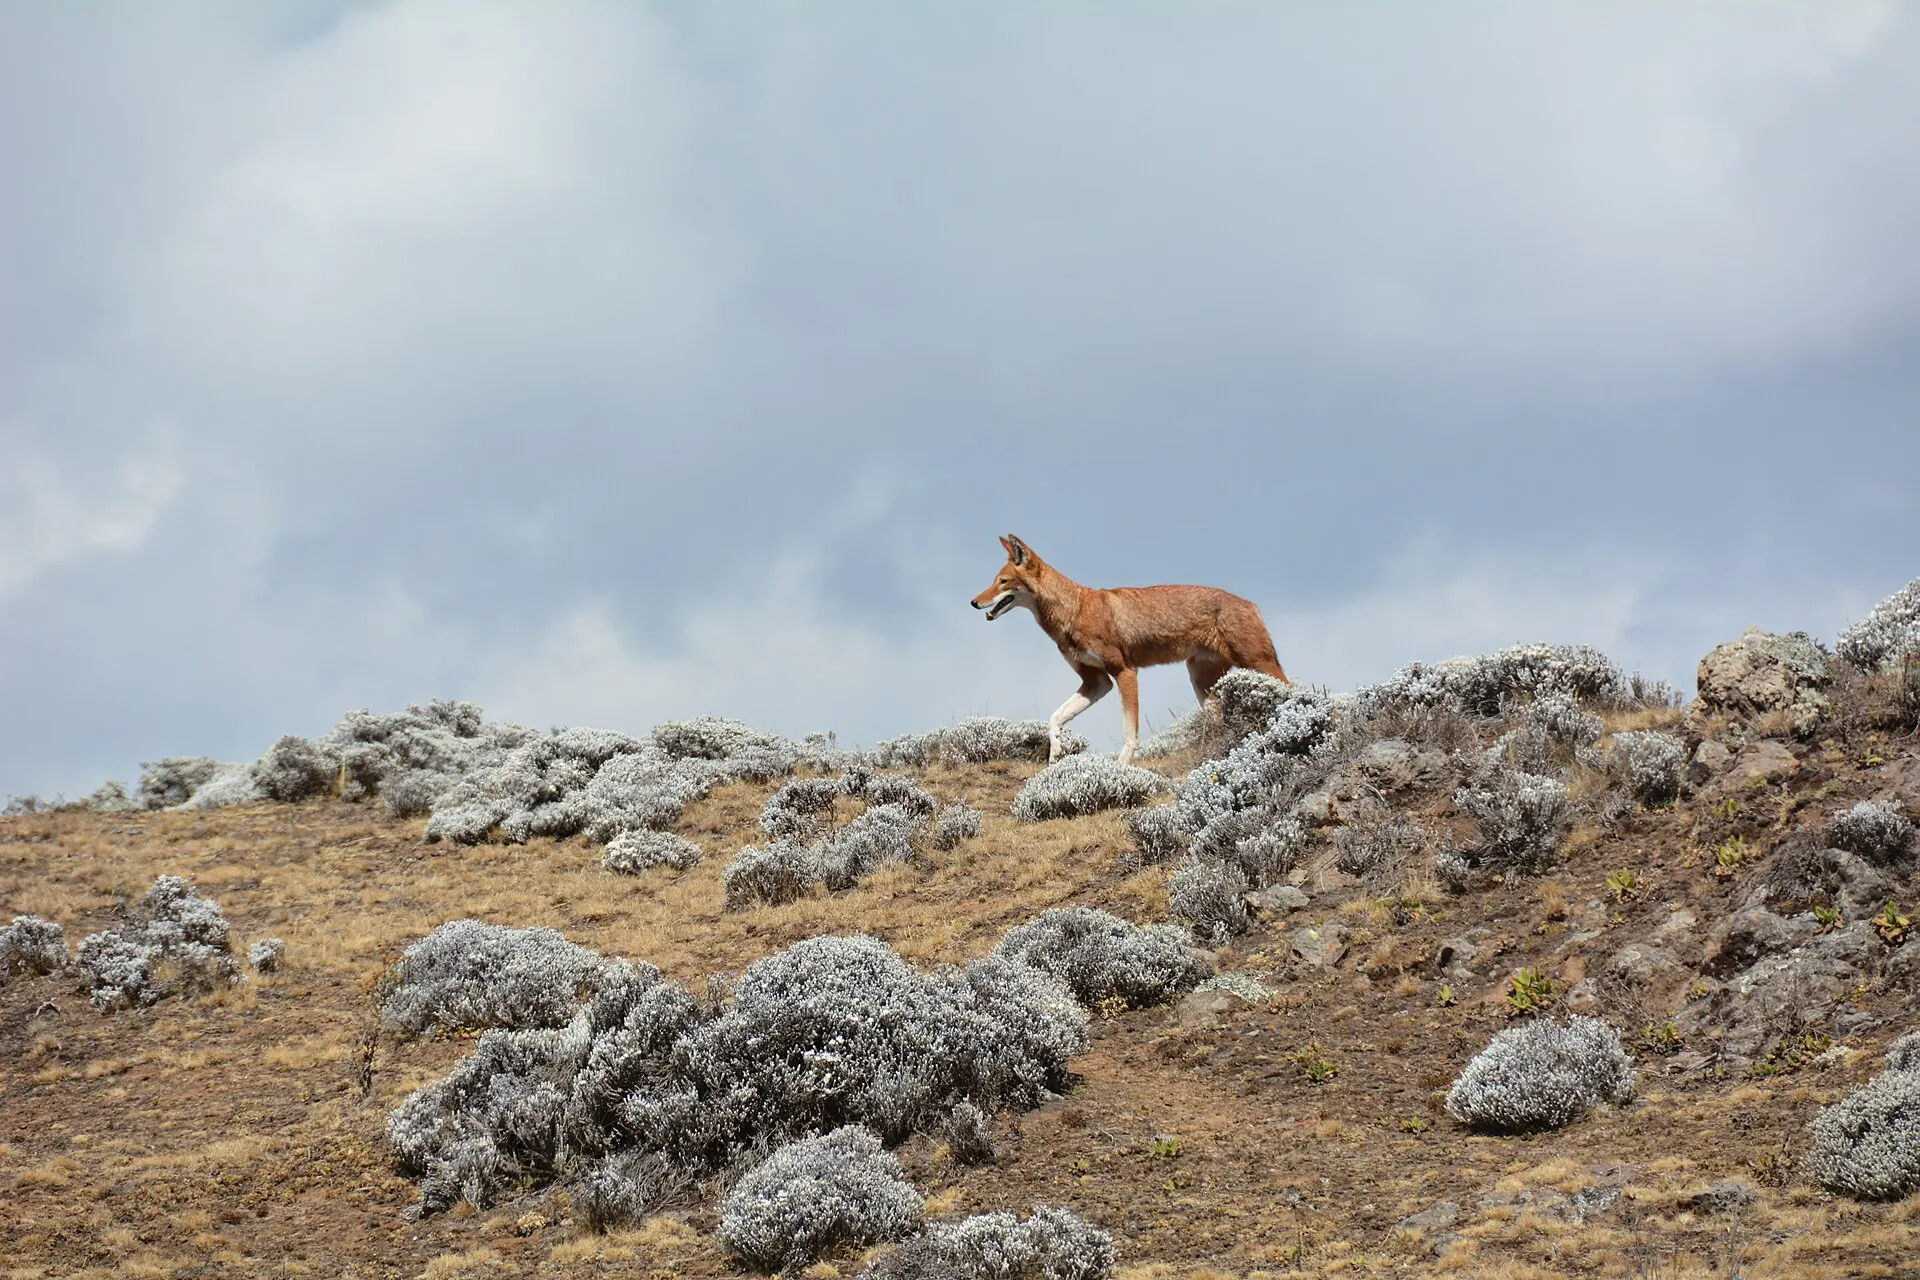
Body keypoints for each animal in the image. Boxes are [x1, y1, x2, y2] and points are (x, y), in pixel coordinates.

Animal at [971, 534, 1289, 765]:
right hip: (1201, 683)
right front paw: (1056, 752)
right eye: (993, 581)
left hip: (1258, 665)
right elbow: (1054, 718)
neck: (1075, 610)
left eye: (1002, 582)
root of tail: (1251, 604)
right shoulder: (1097, 682)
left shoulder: (1125, 672)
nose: (974, 602)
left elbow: (1129, 733)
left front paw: (1121, 766)